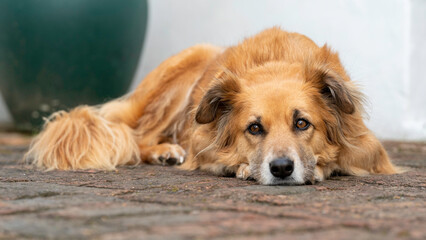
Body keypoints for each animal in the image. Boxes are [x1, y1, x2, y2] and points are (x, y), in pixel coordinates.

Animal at [25, 28, 400, 186]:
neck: (276, 63)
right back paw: (164, 152)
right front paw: (244, 167)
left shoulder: (367, 144)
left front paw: (320, 166)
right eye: (254, 128)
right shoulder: (200, 141)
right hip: (188, 67)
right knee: (137, 136)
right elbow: (218, 156)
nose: (281, 169)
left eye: (302, 124)